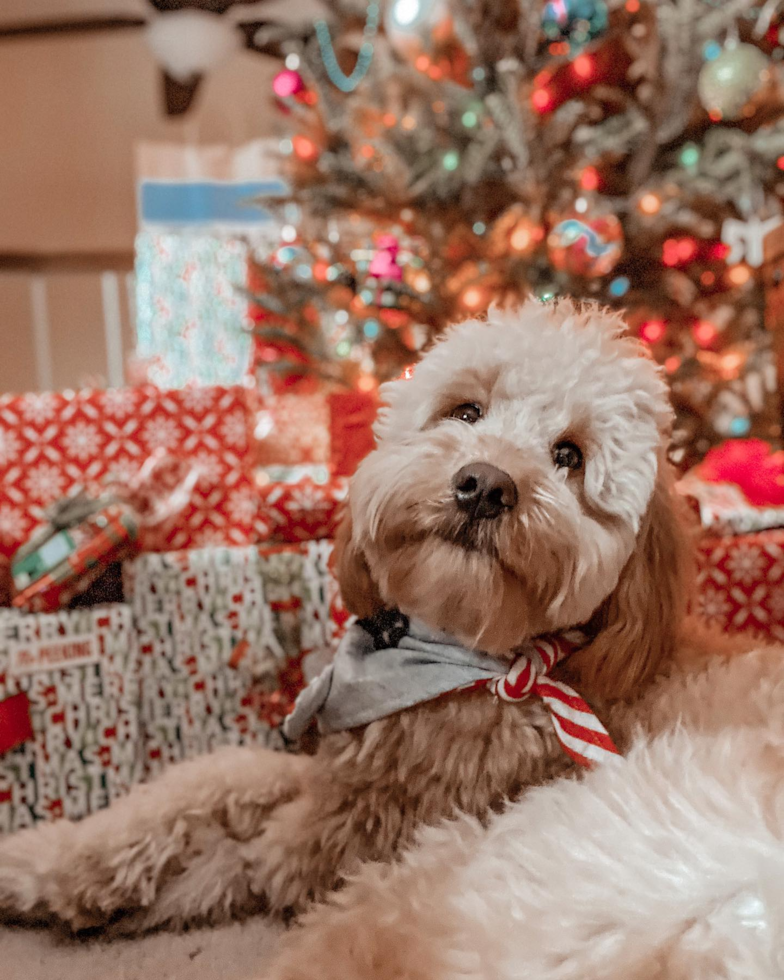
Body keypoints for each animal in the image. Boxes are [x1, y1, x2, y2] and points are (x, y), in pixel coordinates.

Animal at [0, 298, 696, 936]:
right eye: (466, 411)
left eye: (569, 456)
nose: (484, 484)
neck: (453, 655)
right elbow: (203, 785)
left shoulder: (323, 841)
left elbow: (225, 824)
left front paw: (77, 877)